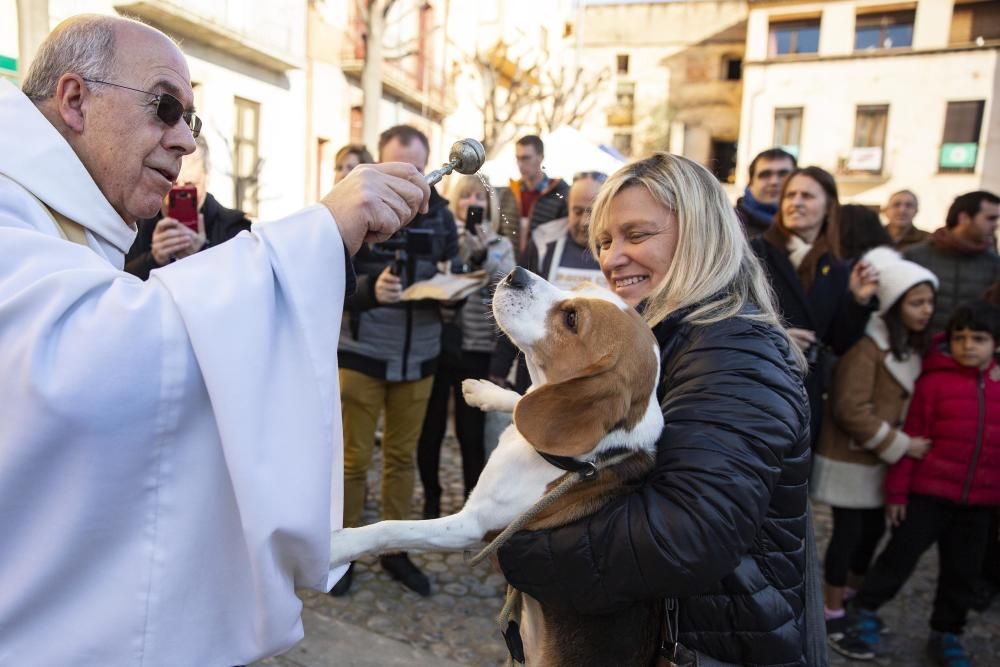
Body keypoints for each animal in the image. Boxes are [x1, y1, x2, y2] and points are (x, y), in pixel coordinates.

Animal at [332, 268, 668, 667]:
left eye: (571, 319)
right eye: (582, 288)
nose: (515, 273)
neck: (580, 460)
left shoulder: (472, 527)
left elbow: (391, 529)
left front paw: (340, 545)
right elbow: (523, 402)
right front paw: (485, 391)